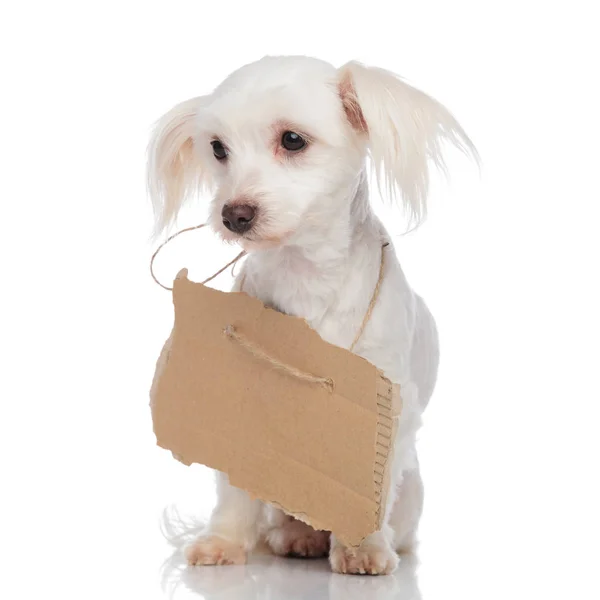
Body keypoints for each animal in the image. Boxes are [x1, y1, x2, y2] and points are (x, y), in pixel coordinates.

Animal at [149, 56, 478, 576]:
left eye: (292, 140)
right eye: (218, 148)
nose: (234, 214)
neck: (302, 273)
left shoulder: (386, 406)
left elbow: (370, 488)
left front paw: (364, 550)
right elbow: (234, 485)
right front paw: (223, 541)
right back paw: (296, 535)